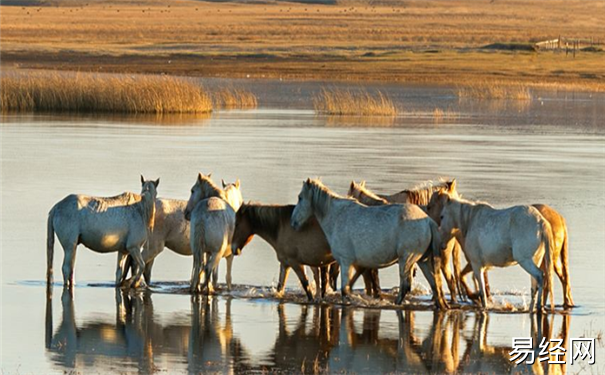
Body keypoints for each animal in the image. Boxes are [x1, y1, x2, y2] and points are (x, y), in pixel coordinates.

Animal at [290, 178, 446, 308]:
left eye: (300, 197)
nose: (293, 223)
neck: (337, 215)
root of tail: (427, 220)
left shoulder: (346, 262)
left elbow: (345, 290)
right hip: (422, 261)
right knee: (435, 283)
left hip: (406, 260)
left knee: (405, 286)